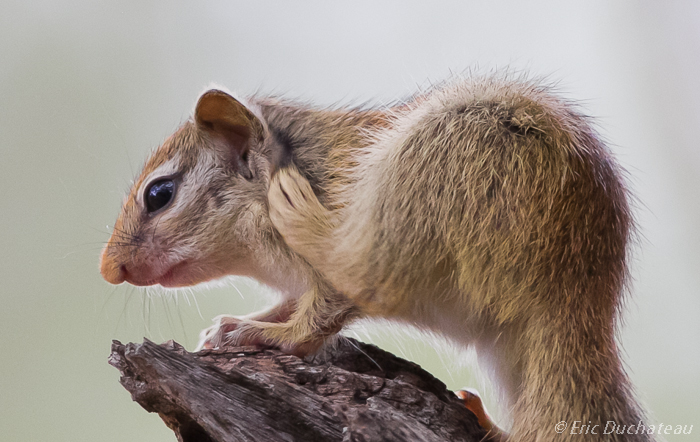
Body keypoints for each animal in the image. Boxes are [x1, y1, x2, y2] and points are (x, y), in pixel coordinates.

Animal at [101, 76, 652, 442]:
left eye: (160, 194)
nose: (109, 271)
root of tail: (577, 293)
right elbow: (291, 301)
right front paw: (239, 322)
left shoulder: (322, 277)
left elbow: (317, 320)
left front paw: (262, 332)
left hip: (439, 164)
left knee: (370, 274)